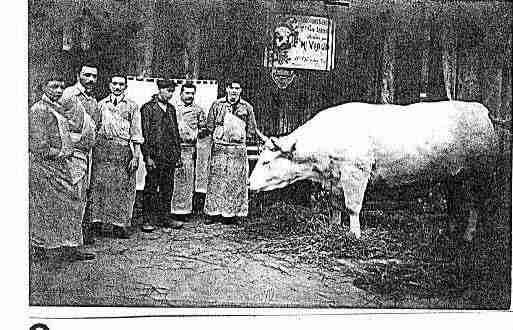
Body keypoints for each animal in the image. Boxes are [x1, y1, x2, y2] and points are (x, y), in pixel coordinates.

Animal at [248, 100, 496, 240]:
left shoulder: (356, 172)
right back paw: (450, 230)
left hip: (480, 174)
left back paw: (468, 235)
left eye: (266, 162)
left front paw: (354, 234)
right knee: (454, 203)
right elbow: (335, 204)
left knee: (475, 205)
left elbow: (352, 206)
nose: (249, 184)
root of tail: (482, 110)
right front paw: (334, 227)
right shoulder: (336, 178)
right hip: (453, 176)